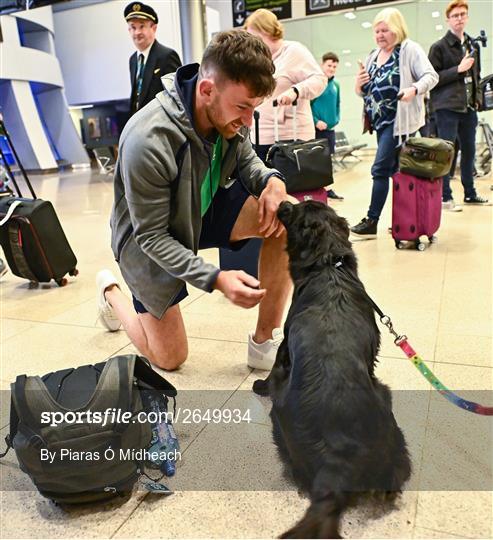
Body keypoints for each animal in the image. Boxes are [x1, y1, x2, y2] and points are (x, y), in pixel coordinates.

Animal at [256, 200, 410, 536]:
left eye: (295, 210)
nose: (283, 202)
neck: (328, 265)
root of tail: (340, 458)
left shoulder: (285, 344)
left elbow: (273, 366)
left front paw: (258, 384)